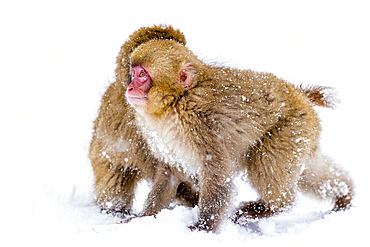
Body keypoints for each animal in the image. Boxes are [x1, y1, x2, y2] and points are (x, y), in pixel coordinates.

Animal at [89, 24, 352, 232]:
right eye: (133, 72)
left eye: (143, 75)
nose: (130, 88)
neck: (175, 103)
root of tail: (300, 94)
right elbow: (170, 175)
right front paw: (143, 219)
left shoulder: (203, 125)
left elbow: (216, 175)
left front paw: (201, 229)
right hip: (302, 134)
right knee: (308, 170)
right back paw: (343, 193)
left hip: (289, 127)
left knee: (269, 165)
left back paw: (271, 206)